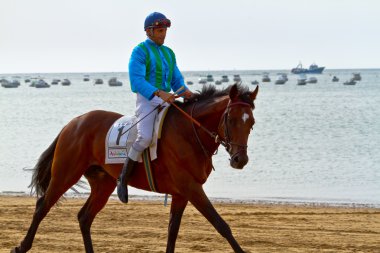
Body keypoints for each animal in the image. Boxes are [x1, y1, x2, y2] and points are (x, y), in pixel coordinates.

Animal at [13, 83, 260, 253]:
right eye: (231, 119)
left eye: (251, 122)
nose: (240, 159)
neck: (189, 132)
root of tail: (73, 122)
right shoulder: (191, 188)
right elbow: (221, 225)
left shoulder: (182, 193)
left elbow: (173, 231)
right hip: (65, 174)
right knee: (42, 206)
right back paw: (22, 246)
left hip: (102, 184)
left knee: (84, 217)